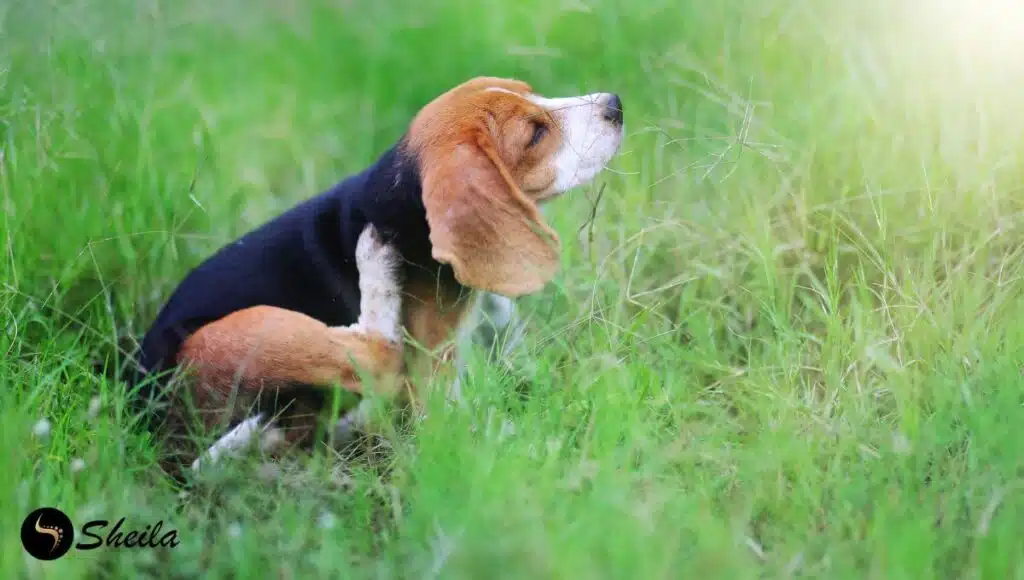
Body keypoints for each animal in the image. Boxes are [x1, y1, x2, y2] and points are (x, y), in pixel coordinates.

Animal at [135, 74, 622, 471]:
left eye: (531, 92)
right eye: (536, 133)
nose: (614, 103)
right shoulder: (431, 372)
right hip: (239, 333)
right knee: (380, 356)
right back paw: (374, 267)